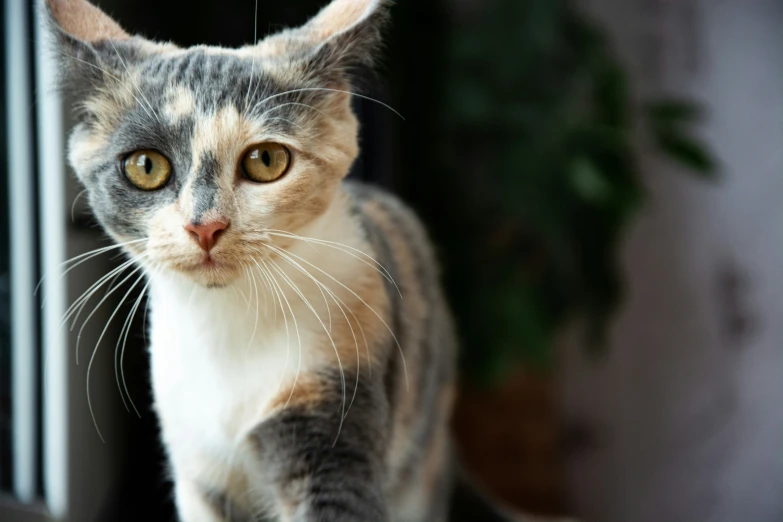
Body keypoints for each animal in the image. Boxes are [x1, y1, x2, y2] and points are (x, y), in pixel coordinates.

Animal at [44, 1, 568, 520]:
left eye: (266, 160)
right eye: (146, 166)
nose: (204, 226)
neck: (229, 327)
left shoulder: (335, 405)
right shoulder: (198, 467)